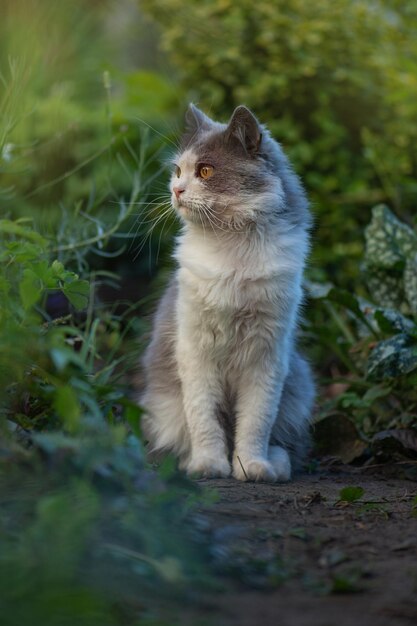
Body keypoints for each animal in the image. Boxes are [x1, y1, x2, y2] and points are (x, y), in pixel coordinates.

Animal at [138, 103, 314, 482]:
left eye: (205, 171)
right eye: (178, 170)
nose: (176, 190)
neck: (232, 248)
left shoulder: (268, 355)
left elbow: (256, 422)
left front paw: (251, 467)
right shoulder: (194, 350)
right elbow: (204, 418)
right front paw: (209, 466)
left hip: (297, 389)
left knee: (281, 442)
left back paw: (276, 466)